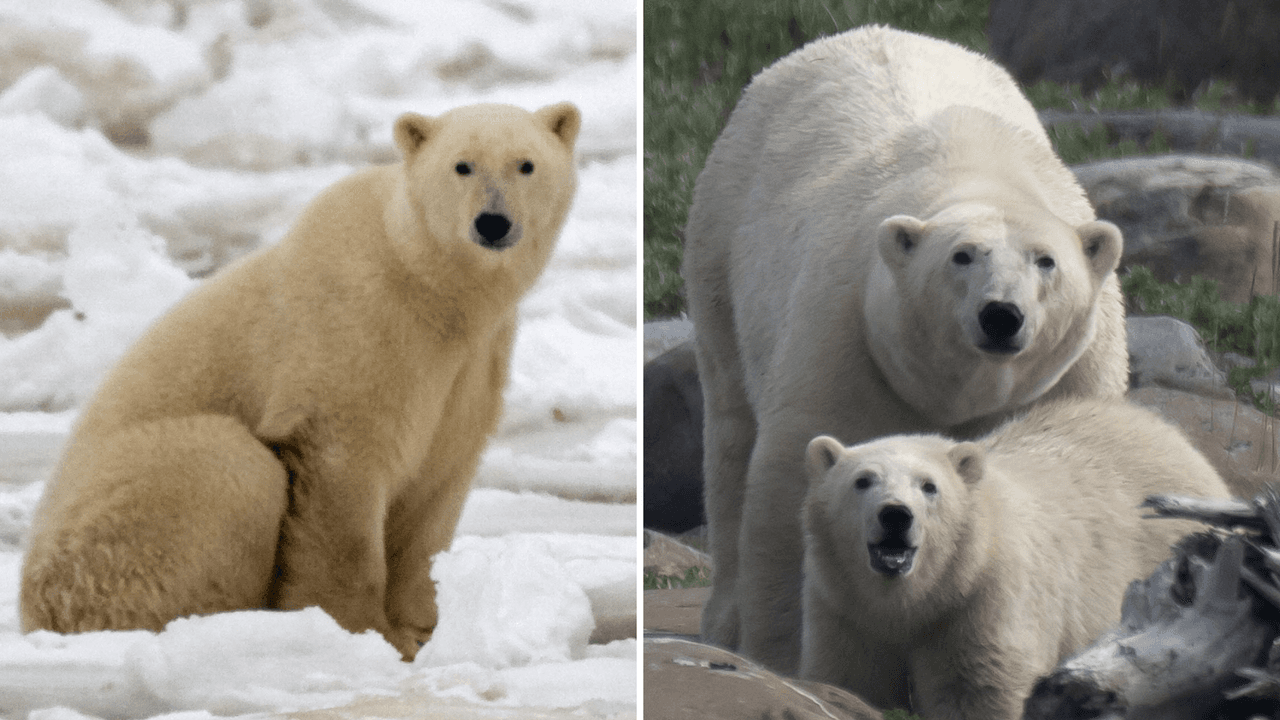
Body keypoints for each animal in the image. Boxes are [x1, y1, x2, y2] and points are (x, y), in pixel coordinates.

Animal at [19, 101, 581, 662]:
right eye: (462, 165)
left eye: (526, 164)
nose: (493, 222)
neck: (430, 284)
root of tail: (31, 613)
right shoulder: (358, 330)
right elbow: (341, 480)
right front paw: (366, 631)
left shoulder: (472, 364)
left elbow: (437, 483)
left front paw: (425, 625)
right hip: (106, 526)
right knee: (225, 461)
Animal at [681, 24, 1128, 672]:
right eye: (962, 256)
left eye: (1046, 261)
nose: (1001, 315)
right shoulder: (847, 337)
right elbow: (797, 485)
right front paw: (787, 660)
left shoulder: (1075, 373)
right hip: (721, 242)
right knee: (731, 430)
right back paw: (724, 624)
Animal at [799, 398, 1231, 720]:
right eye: (863, 480)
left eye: (929, 486)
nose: (895, 515)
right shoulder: (845, 609)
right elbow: (850, 678)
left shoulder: (984, 600)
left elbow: (981, 692)